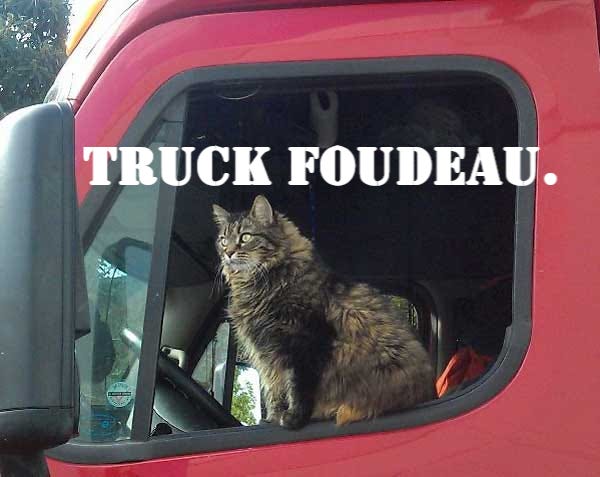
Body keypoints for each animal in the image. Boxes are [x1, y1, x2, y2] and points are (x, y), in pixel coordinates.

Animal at [212, 195, 435, 429]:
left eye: (245, 237)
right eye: (223, 240)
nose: (228, 253)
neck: (260, 284)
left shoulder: (303, 343)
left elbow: (297, 387)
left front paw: (293, 419)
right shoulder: (267, 353)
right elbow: (274, 391)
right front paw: (271, 420)